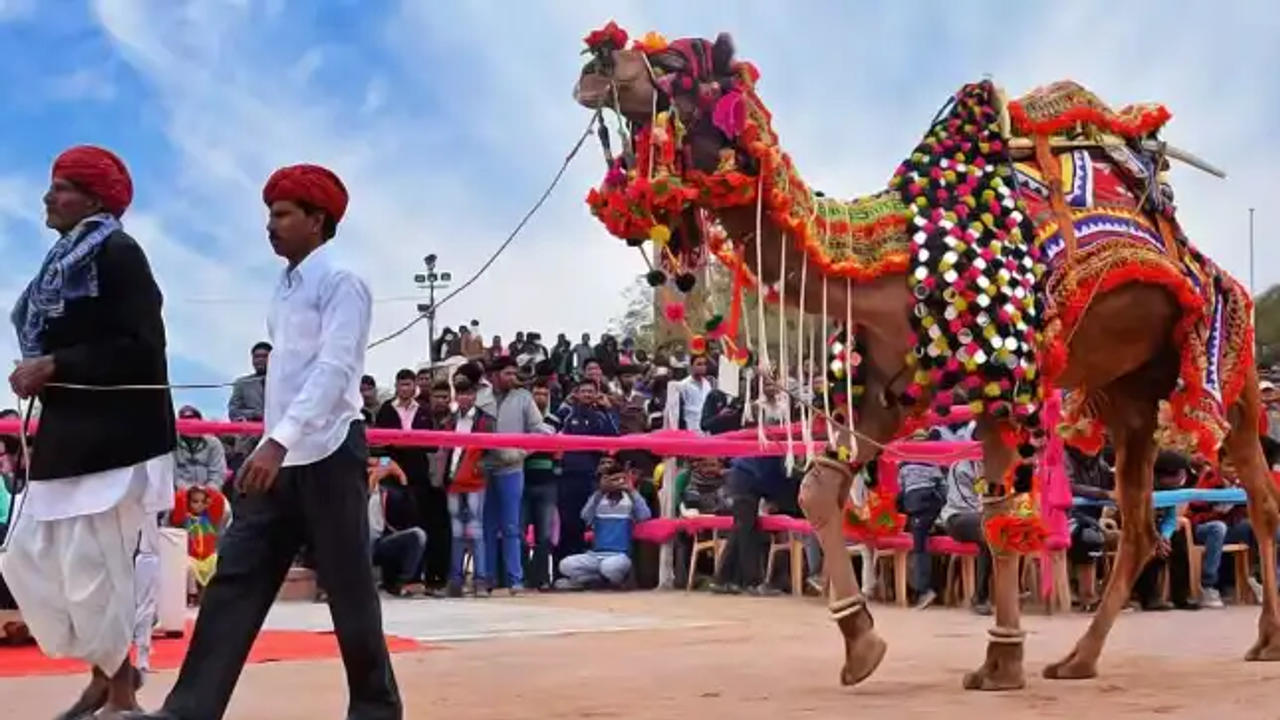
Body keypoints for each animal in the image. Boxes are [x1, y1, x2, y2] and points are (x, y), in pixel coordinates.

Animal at [576, 25, 1280, 691]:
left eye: (672, 63)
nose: (596, 63)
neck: (893, 258)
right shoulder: (888, 389)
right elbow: (818, 490)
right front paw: (862, 644)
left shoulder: (1005, 380)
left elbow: (1000, 517)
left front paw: (1000, 664)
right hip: (1127, 394)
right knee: (1137, 525)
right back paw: (1078, 660)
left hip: (1228, 358)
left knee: (1258, 491)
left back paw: (1263, 641)